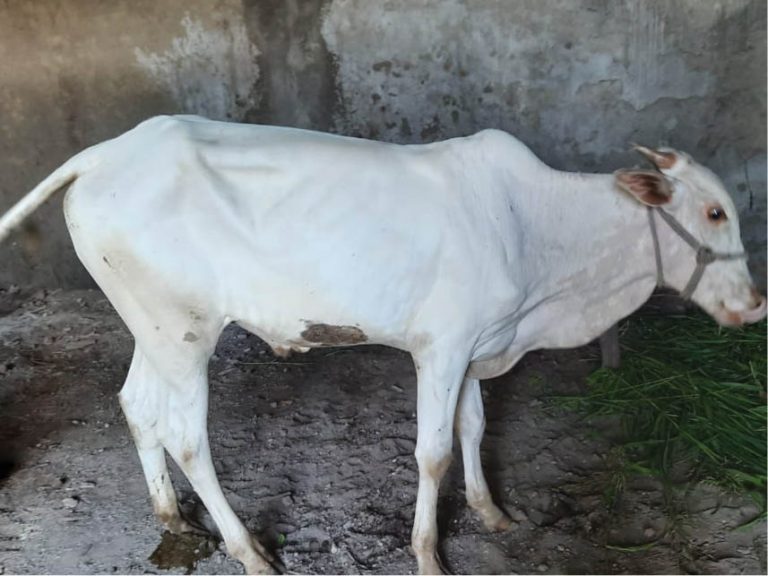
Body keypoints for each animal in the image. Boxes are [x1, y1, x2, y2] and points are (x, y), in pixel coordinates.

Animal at [0, 115, 765, 574]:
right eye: (714, 212)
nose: (756, 302)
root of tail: (107, 151)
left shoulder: (477, 343)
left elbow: (473, 427)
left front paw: (492, 512)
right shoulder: (442, 347)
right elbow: (432, 453)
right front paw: (428, 554)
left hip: (154, 324)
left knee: (137, 406)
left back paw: (170, 515)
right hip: (185, 331)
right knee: (187, 437)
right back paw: (249, 550)